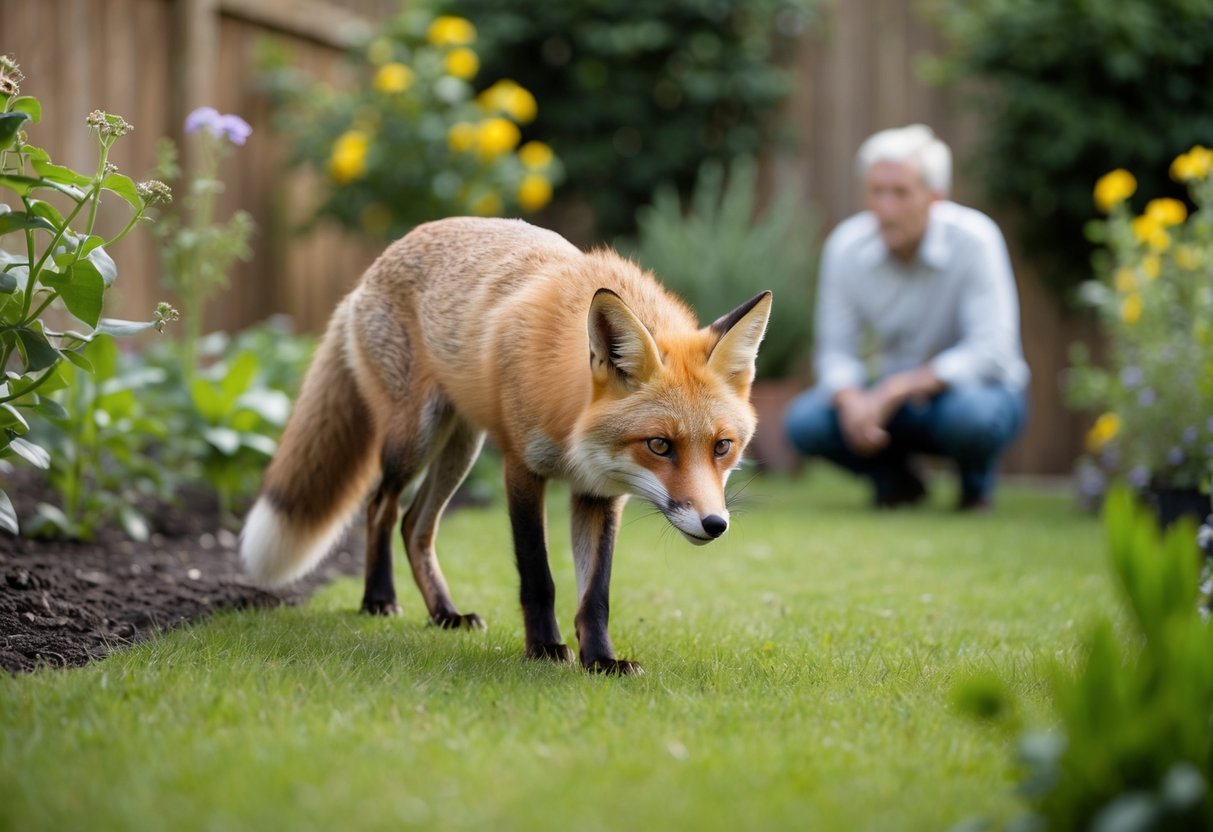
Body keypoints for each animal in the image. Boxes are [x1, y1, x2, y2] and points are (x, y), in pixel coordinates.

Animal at [240, 216, 771, 674]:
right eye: (660, 445)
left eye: (722, 447)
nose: (715, 524)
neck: (572, 427)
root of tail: (373, 269)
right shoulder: (521, 468)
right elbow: (539, 575)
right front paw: (545, 649)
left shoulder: (599, 493)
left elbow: (595, 594)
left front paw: (601, 660)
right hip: (414, 437)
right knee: (380, 507)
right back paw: (378, 598)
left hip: (462, 447)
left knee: (416, 525)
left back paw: (445, 613)